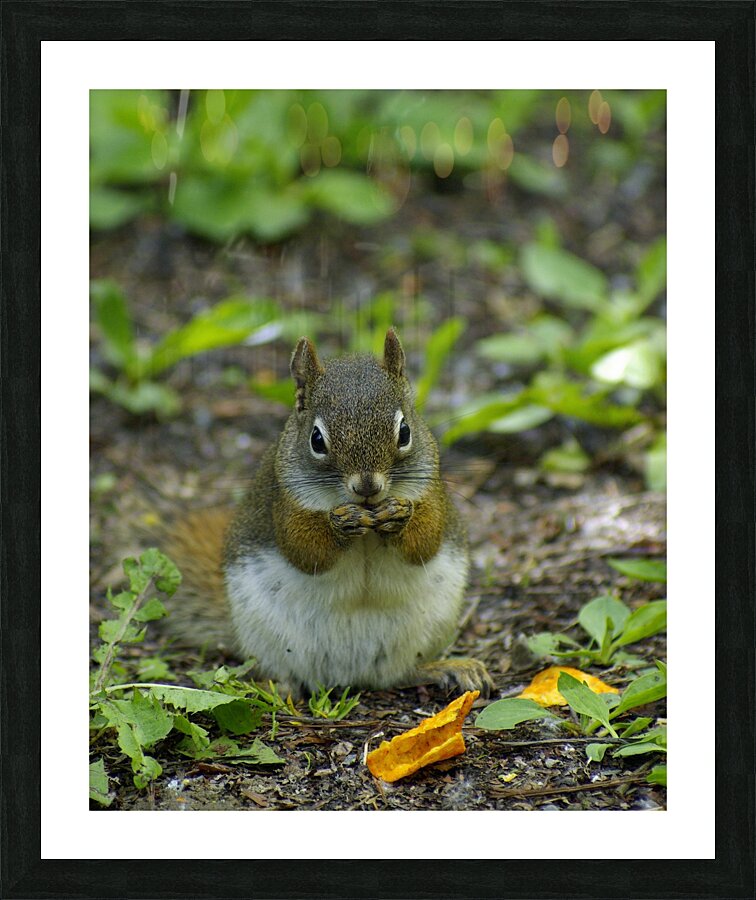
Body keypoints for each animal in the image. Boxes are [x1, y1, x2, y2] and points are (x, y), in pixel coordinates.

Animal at [164, 328, 492, 699]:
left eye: (405, 432)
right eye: (316, 439)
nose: (367, 487)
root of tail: (349, 678)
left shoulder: (430, 488)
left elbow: (426, 540)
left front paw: (399, 516)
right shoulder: (285, 502)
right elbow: (305, 550)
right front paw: (341, 523)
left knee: (402, 674)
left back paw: (450, 668)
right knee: (291, 680)